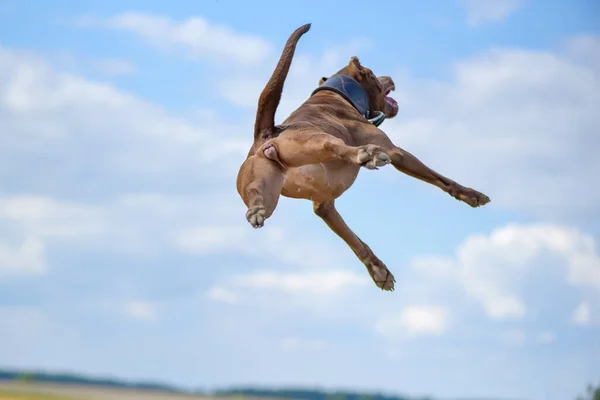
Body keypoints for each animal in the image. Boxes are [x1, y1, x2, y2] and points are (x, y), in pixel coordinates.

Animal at [233, 23, 488, 290]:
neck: (339, 94)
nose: (390, 77)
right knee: (332, 144)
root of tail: (267, 134)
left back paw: (256, 210)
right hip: (312, 140)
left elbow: (354, 240)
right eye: (374, 74)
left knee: (259, 198)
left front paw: (378, 270)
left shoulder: (324, 205)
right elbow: (440, 178)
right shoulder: (397, 152)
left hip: (264, 186)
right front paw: (472, 195)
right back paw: (365, 155)